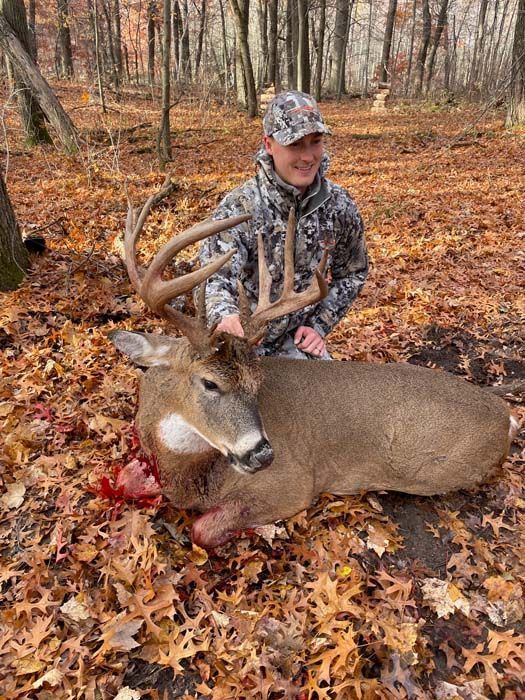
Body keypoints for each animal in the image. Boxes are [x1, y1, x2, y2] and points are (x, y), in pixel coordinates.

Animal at [109, 179, 520, 549]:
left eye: (256, 382)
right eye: (209, 382)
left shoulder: (293, 483)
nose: (263, 453)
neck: (187, 470)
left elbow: (202, 529)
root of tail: (506, 416)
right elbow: (127, 482)